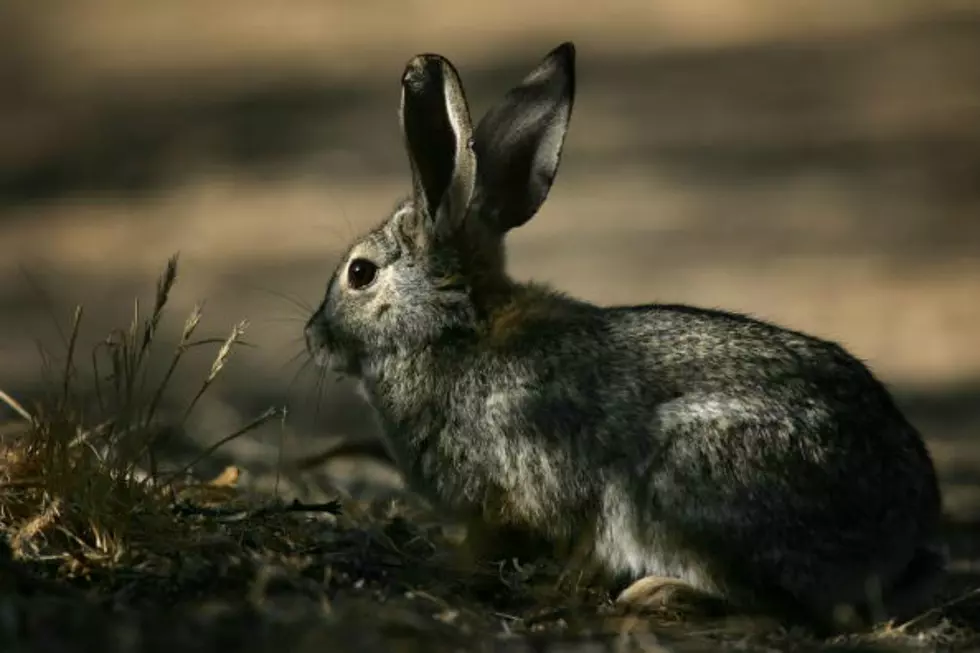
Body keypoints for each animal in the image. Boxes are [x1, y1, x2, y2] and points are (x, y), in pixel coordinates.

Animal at [304, 42, 940, 632]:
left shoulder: (509, 498)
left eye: (360, 273)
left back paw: (656, 593)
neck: (455, 329)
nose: (314, 336)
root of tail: (902, 544)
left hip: (683, 483)